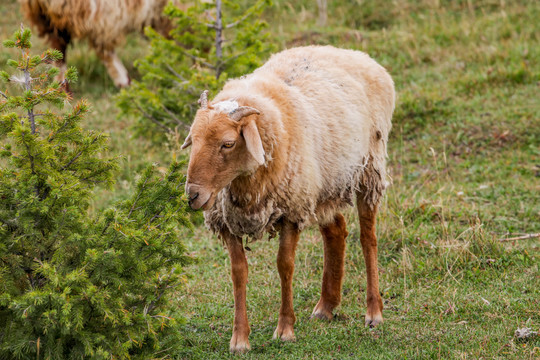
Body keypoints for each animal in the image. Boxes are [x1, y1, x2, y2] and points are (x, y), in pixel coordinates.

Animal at [184, 45, 394, 352]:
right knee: (336, 230)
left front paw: (285, 330)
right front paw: (240, 339)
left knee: (369, 239)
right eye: (193, 141)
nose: (193, 195)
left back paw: (374, 312)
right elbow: (238, 272)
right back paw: (326, 306)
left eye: (228, 143)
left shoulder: (291, 211)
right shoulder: (227, 220)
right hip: (322, 186)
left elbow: (285, 265)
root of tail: (348, 52)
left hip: (369, 170)